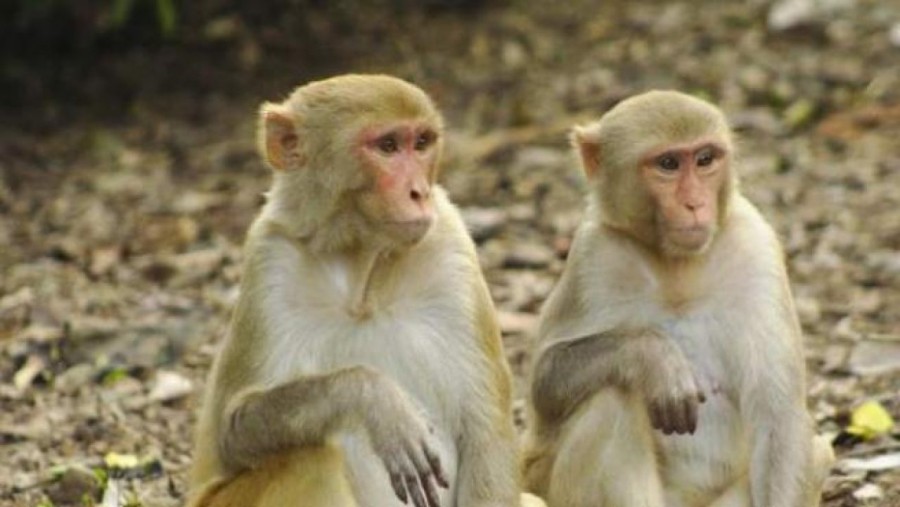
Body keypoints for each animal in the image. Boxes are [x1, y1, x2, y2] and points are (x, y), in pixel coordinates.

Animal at [187, 74, 538, 507]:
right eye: (387, 146)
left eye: (422, 143)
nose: (419, 192)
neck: (364, 277)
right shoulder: (269, 260)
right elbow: (233, 430)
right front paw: (372, 398)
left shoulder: (451, 246)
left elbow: (487, 432)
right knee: (311, 459)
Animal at [522, 90, 834, 507]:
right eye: (668, 164)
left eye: (704, 159)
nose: (695, 204)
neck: (678, 270)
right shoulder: (593, 255)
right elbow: (544, 382)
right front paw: (654, 358)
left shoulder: (755, 246)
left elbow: (778, 418)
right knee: (611, 398)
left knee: (818, 452)